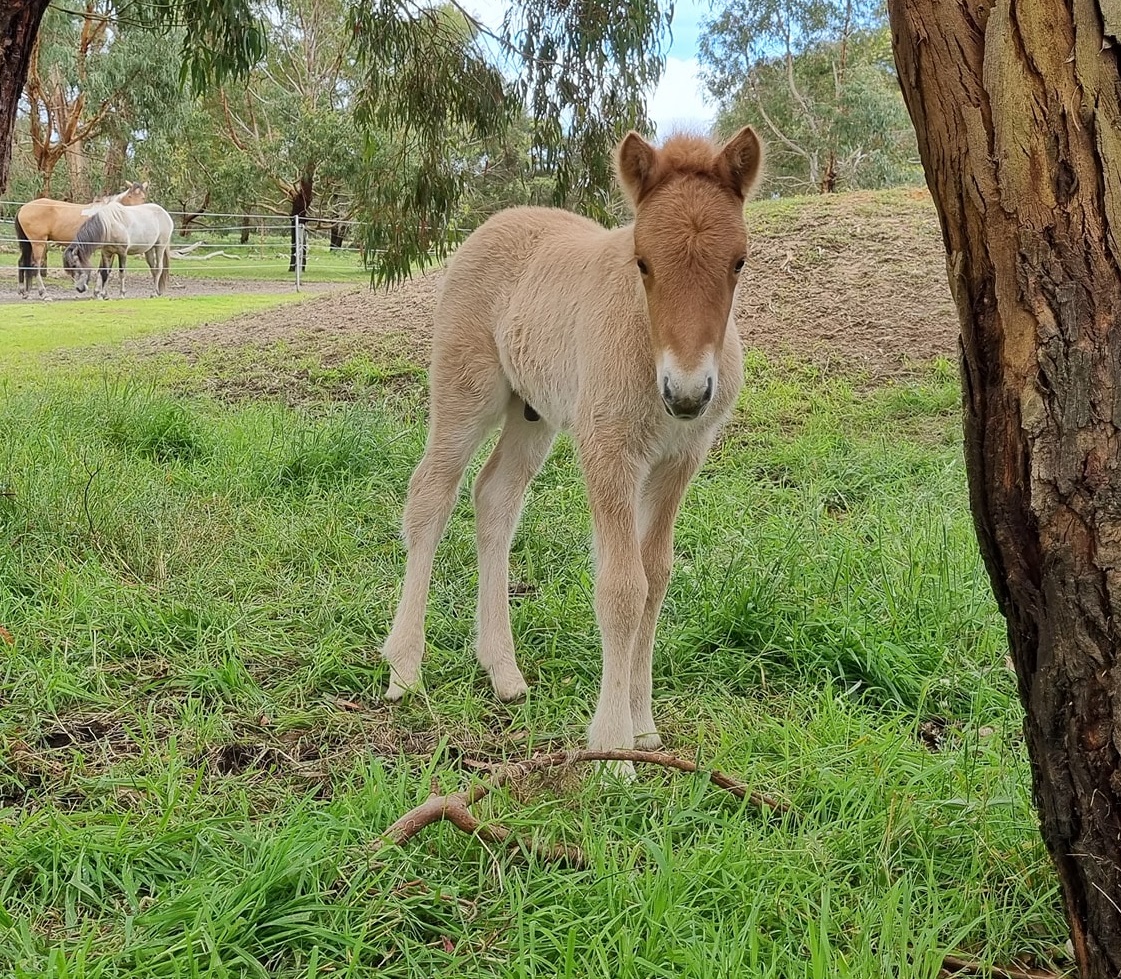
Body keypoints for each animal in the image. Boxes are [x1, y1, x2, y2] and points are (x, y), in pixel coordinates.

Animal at [15, 181, 147, 300]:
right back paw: (44, 294)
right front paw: (100, 293)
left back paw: (25, 292)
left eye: (143, 197)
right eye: (130, 196)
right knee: (35, 266)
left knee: (23, 262)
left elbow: (105, 270)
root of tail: (23, 208)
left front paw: (101, 293)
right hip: (38, 243)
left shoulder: (109, 250)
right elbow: (104, 270)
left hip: (29, 244)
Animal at [383, 127, 762, 758]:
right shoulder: (608, 450)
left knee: (495, 497)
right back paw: (405, 668)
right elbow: (622, 587)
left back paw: (503, 670)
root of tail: (496, 221)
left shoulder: (678, 460)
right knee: (430, 496)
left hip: (532, 414)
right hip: (466, 392)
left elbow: (656, 576)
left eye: (739, 262)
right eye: (642, 262)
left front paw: (643, 726)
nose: (686, 394)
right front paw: (612, 749)